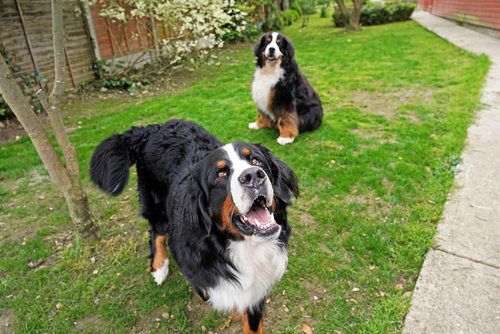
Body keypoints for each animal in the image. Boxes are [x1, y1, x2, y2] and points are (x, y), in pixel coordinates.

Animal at [88, 118, 298, 332]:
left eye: (256, 161)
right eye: (220, 174)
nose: (254, 175)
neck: (238, 246)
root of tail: (152, 128)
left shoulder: (258, 287)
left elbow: (253, 322)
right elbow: (205, 289)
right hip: (157, 207)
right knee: (156, 232)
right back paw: (160, 266)